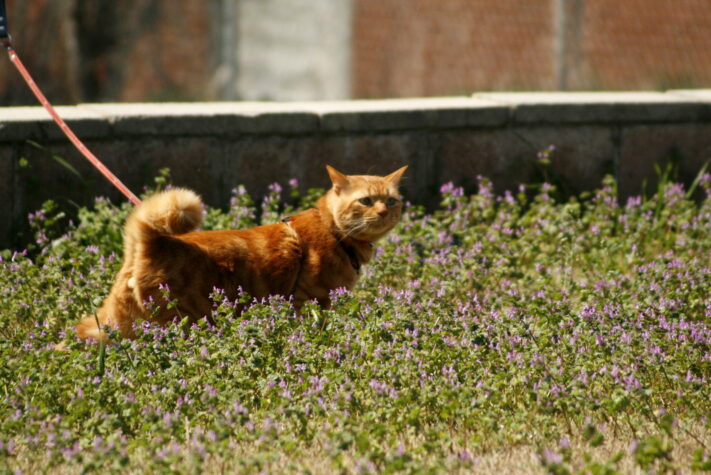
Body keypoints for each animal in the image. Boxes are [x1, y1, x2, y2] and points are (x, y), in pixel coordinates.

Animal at [73, 165, 406, 340]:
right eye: (365, 201)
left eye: (391, 201)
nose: (383, 212)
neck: (333, 231)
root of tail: (150, 242)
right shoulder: (309, 299)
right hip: (179, 321)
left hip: (115, 321)